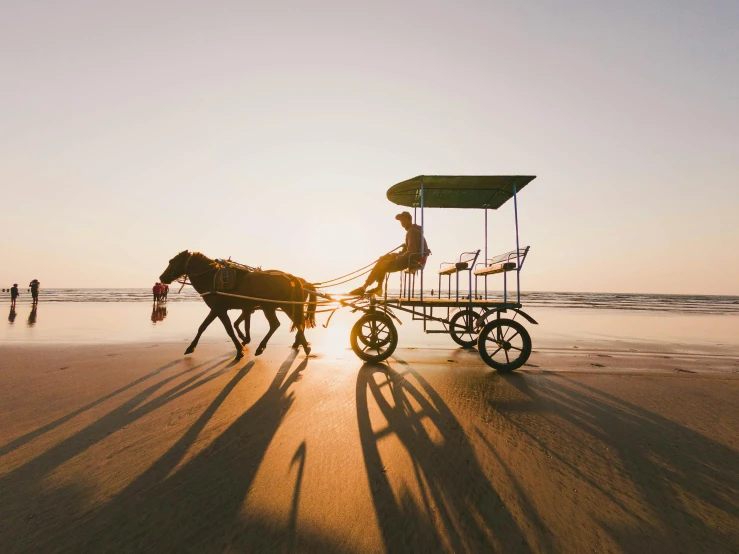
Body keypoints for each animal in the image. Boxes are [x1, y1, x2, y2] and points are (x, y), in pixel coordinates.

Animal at [159, 250, 316, 358]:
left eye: (172, 261)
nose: (161, 277)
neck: (211, 278)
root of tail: (289, 276)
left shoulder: (219, 310)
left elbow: (228, 329)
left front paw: (240, 349)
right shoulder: (221, 310)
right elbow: (203, 327)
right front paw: (191, 347)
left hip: (269, 306)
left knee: (276, 324)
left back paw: (261, 347)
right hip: (287, 306)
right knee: (299, 323)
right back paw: (304, 346)